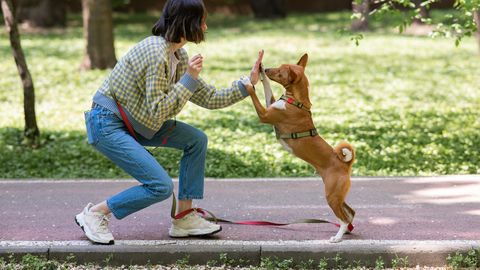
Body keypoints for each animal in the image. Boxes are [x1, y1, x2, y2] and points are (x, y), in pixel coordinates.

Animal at [244, 52, 356, 243]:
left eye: (280, 72)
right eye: (278, 67)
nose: (267, 68)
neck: (296, 101)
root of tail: (345, 164)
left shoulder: (265, 115)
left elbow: (253, 93)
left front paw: (247, 83)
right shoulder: (270, 104)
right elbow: (267, 87)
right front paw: (261, 72)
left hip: (332, 196)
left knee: (343, 217)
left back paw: (337, 237)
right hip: (338, 195)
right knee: (351, 213)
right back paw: (346, 231)